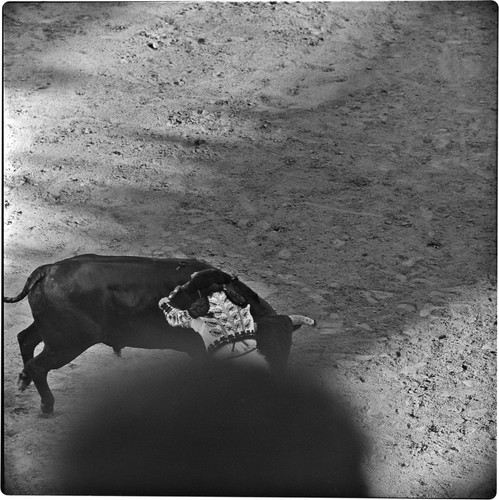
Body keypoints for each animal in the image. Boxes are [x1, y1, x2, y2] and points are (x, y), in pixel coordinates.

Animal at [3, 254, 298, 414]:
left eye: (288, 346)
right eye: (268, 346)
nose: (279, 378)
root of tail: (47, 270)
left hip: (51, 333)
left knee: (25, 339)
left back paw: (24, 380)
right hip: (67, 342)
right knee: (38, 364)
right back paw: (47, 404)